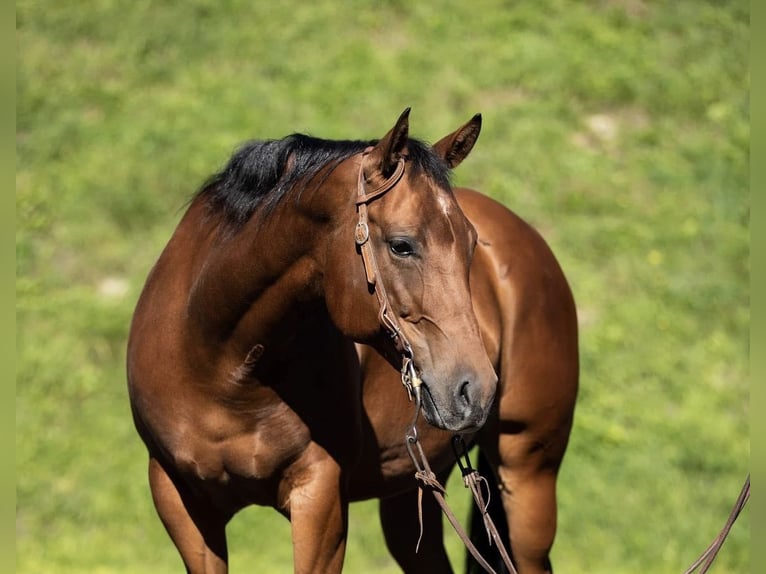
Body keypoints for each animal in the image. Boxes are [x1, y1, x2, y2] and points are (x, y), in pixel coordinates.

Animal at [127, 109, 578, 574]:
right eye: (401, 245)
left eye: (471, 245)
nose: (477, 390)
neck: (222, 360)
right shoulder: (181, 501)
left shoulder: (319, 497)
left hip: (528, 477)